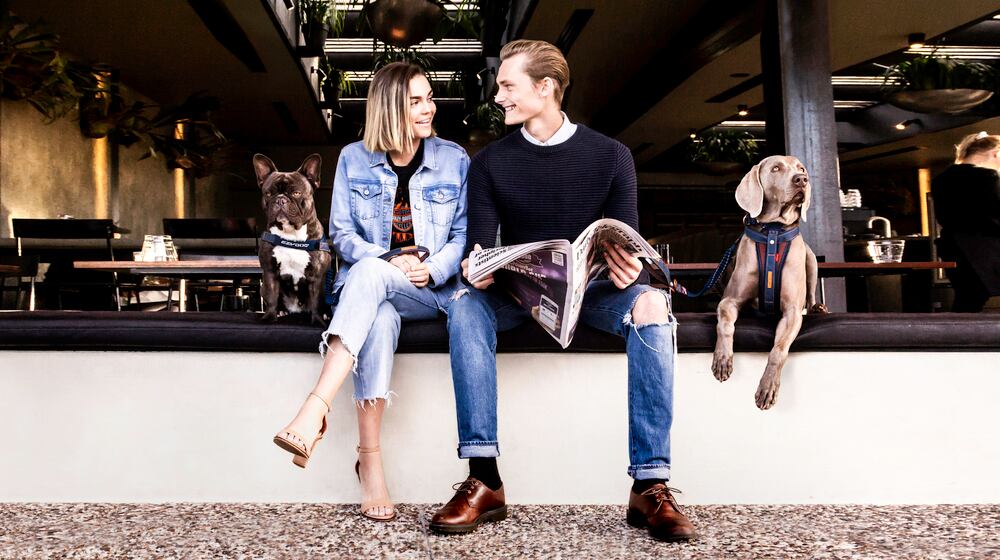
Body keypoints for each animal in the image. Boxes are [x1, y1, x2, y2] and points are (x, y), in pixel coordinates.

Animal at [252, 153, 331, 325]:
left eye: (296, 193)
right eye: (268, 194)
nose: (280, 199)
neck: (291, 235)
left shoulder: (316, 276)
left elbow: (316, 300)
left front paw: (317, 321)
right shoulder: (269, 271)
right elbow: (272, 295)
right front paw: (269, 317)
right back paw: (281, 310)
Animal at [711, 155, 828, 410]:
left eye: (801, 168)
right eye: (776, 168)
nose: (801, 179)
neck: (773, 232)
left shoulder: (792, 312)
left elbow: (778, 350)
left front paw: (767, 387)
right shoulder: (729, 301)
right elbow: (725, 325)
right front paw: (723, 359)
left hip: (811, 258)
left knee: (811, 293)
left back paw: (818, 308)